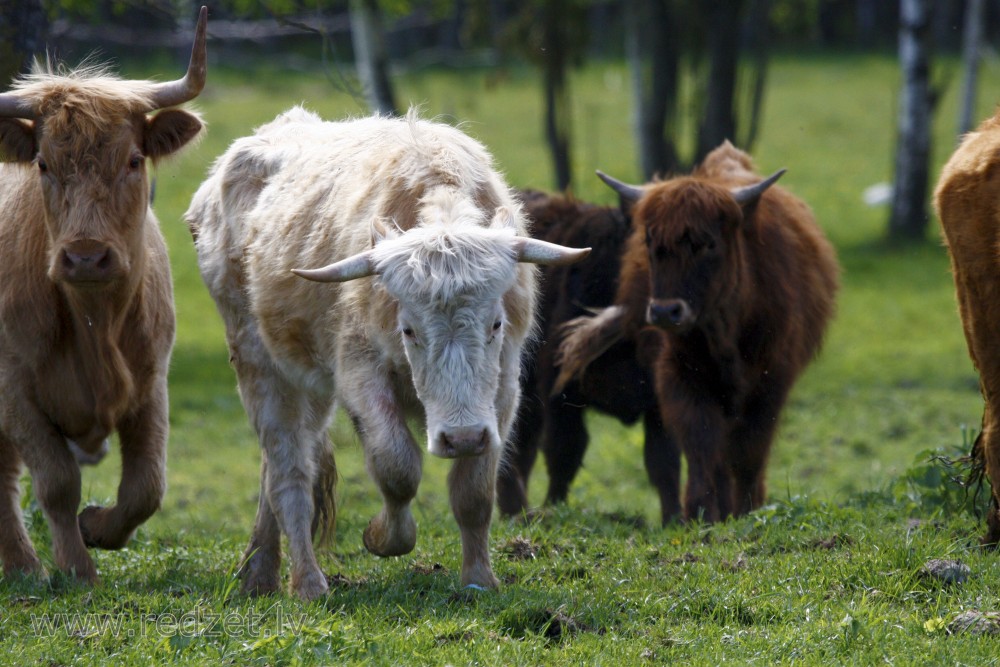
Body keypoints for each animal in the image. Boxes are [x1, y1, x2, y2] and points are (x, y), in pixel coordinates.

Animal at [0, 7, 208, 580]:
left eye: (134, 160)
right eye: (44, 164)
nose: (87, 256)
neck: (94, 325)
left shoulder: (151, 381)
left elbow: (146, 487)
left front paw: (96, 528)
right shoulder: (13, 390)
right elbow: (57, 482)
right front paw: (77, 569)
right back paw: (24, 566)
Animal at [186, 108, 584, 600]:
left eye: (495, 324)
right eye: (408, 329)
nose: (460, 438)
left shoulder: (502, 390)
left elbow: (474, 490)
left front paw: (479, 578)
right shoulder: (361, 376)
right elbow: (397, 465)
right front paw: (383, 537)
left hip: (309, 385)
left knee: (285, 467)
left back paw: (259, 573)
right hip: (258, 365)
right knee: (288, 473)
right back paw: (307, 583)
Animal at [496, 190, 684, 524]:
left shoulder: (659, 405)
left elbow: (664, 463)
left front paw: (674, 518)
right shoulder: (560, 395)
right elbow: (565, 454)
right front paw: (554, 507)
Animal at [556, 144, 836, 524]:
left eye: (707, 244)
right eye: (650, 241)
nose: (665, 312)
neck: (725, 329)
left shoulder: (771, 385)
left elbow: (749, 454)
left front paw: (748, 509)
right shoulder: (680, 377)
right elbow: (701, 444)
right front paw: (701, 513)